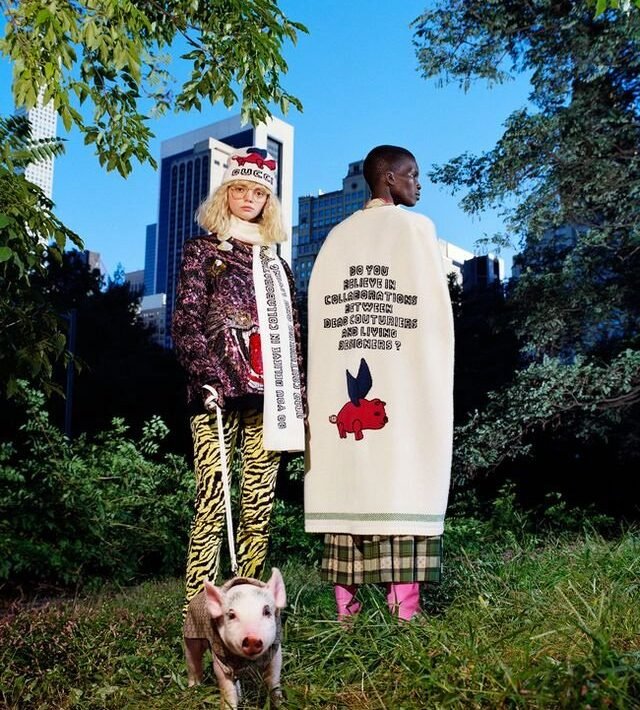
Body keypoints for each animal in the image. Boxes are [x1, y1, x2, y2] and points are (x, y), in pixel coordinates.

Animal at [183, 567, 286, 709]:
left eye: (267, 611)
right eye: (231, 615)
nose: (252, 639)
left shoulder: (275, 652)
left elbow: (274, 682)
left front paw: (280, 704)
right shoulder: (220, 660)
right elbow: (226, 690)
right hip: (190, 636)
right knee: (193, 661)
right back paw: (194, 690)